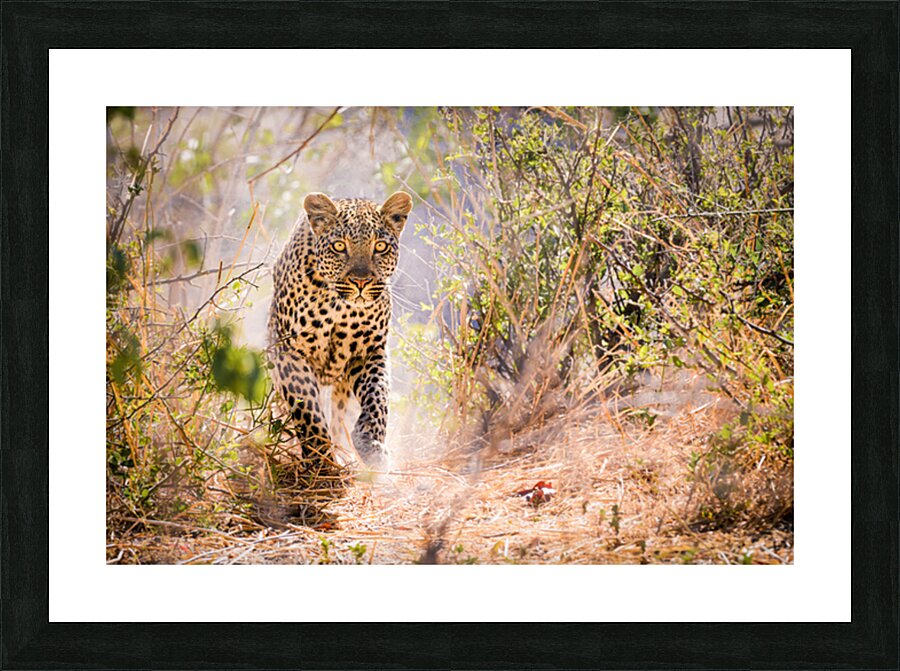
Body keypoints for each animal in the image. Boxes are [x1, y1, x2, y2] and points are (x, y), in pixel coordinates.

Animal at [267, 191, 412, 476]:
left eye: (380, 246)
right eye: (339, 246)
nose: (361, 281)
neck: (339, 307)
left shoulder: (369, 351)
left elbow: (377, 398)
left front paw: (371, 446)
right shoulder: (289, 351)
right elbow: (307, 410)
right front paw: (321, 462)